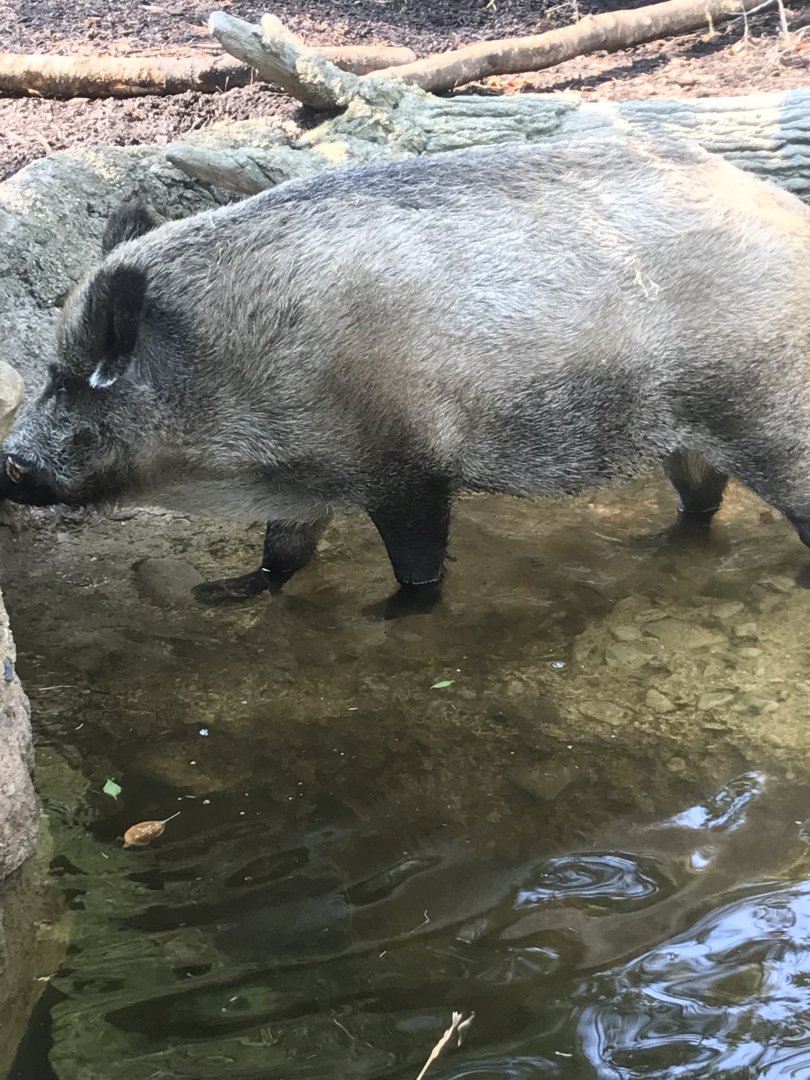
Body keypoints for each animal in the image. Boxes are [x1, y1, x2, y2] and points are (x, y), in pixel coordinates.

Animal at [3, 136, 810, 612]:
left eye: (79, 377)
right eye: (52, 371)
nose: (9, 458)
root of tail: (788, 212)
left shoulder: (407, 466)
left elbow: (419, 564)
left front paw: (389, 613)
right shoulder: (309, 476)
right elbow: (281, 552)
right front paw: (219, 594)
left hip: (767, 412)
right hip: (688, 435)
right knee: (702, 500)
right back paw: (653, 549)